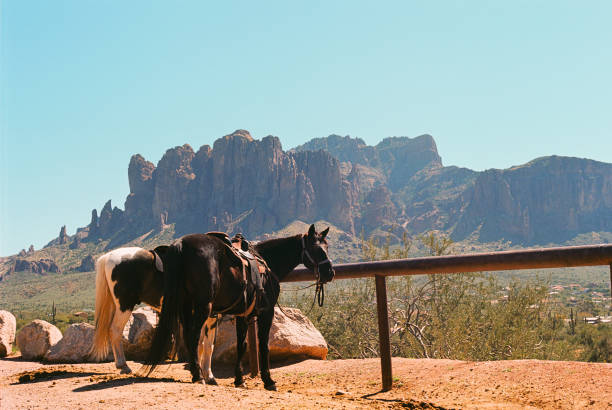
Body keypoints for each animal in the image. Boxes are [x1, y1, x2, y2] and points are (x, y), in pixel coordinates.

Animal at [143, 224, 334, 390]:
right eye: (317, 249)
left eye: (327, 247)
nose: (329, 273)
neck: (267, 263)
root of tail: (181, 244)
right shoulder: (267, 312)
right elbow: (263, 345)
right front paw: (268, 380)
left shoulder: (242, 315)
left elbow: (242, 345)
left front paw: (239, 380)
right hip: (203, 306)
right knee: (194, 336)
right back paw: (198, 377)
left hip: (186, 305)